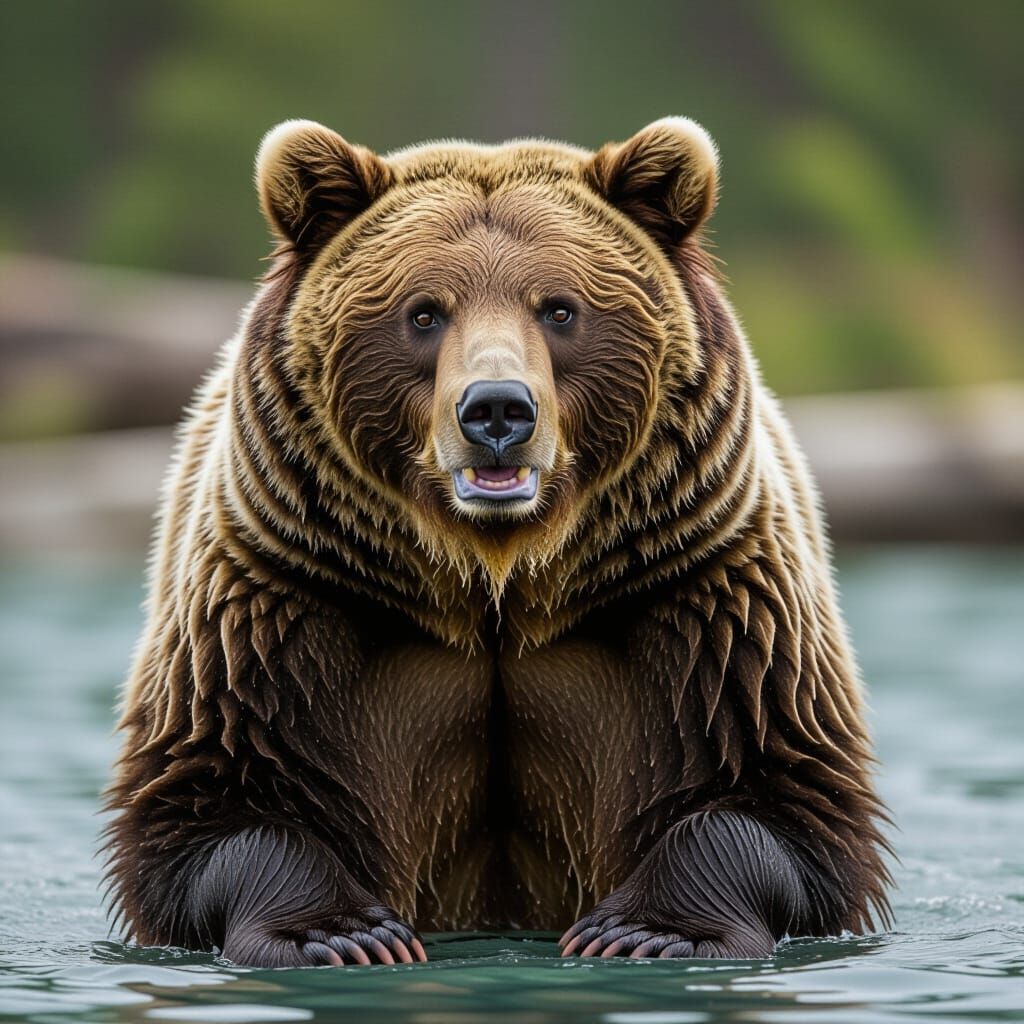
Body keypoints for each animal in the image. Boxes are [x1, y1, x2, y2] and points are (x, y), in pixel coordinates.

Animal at [103, 117, 891, 967]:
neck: (497, 576)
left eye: (559, 309)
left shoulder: (698, 596)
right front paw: (339, 934)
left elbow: (774, 788)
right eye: (423, 312)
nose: (497, 411)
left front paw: (648, 931)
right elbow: (220, 792)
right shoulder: (291, 600)